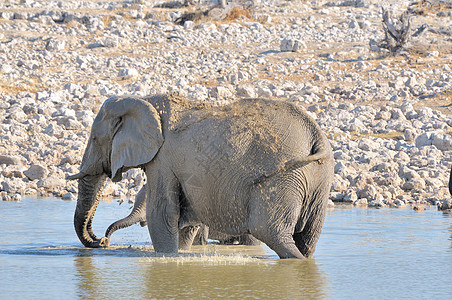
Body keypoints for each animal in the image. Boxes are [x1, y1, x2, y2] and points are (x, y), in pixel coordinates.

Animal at [68, 94, 336, 258]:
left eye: (95, 139)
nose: (103, 241)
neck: (146, 100)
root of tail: (316, 136)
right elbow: (183, 220)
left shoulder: (163, 159)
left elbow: (162, 214)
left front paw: (166, 257)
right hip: (318, 178)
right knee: (307, 238)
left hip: (284, 178)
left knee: (269, 231)